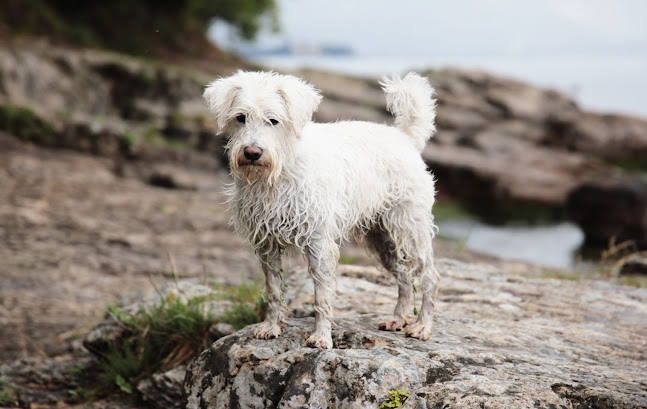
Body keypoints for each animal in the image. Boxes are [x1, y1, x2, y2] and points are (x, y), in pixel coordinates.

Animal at [204, 71, 440, 348]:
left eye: (273, 120)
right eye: (240, 117)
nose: (252, 152)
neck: (280, 172)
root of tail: (405, 138)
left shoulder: (318, 242)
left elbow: (321, 296)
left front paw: (321, 337)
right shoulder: (266, 244)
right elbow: (273, 289)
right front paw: (272, 326)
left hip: (410, 230)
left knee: (429, 277)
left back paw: (422, 326)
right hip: (383, 240)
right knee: (403, 276)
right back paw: (397, 319)